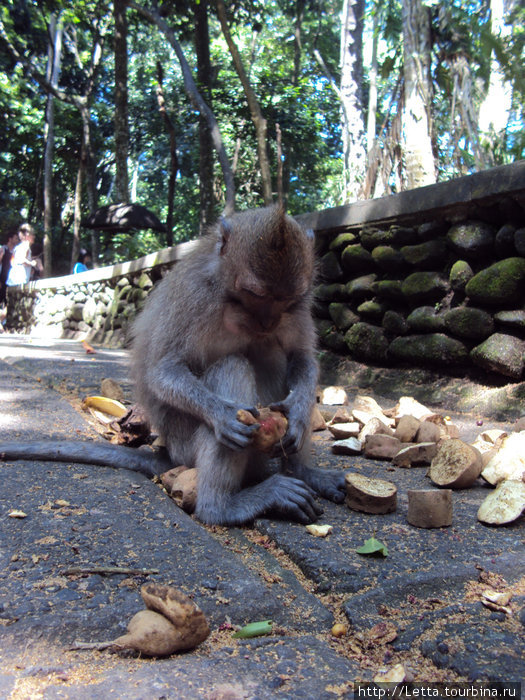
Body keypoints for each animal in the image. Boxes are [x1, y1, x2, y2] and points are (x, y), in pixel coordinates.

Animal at [1, 208, 348, 524]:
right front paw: (221, 415)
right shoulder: (196, 296)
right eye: (255, 293)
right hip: (186, 447)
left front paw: (299, 411)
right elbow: (163, 371)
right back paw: (222, 508)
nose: (268, 321)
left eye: (286, 300)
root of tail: (169, 451)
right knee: (233, 366)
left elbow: (301, 356)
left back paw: (303, 472)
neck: (229, 298)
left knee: (270, 354)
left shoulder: (300, 305)